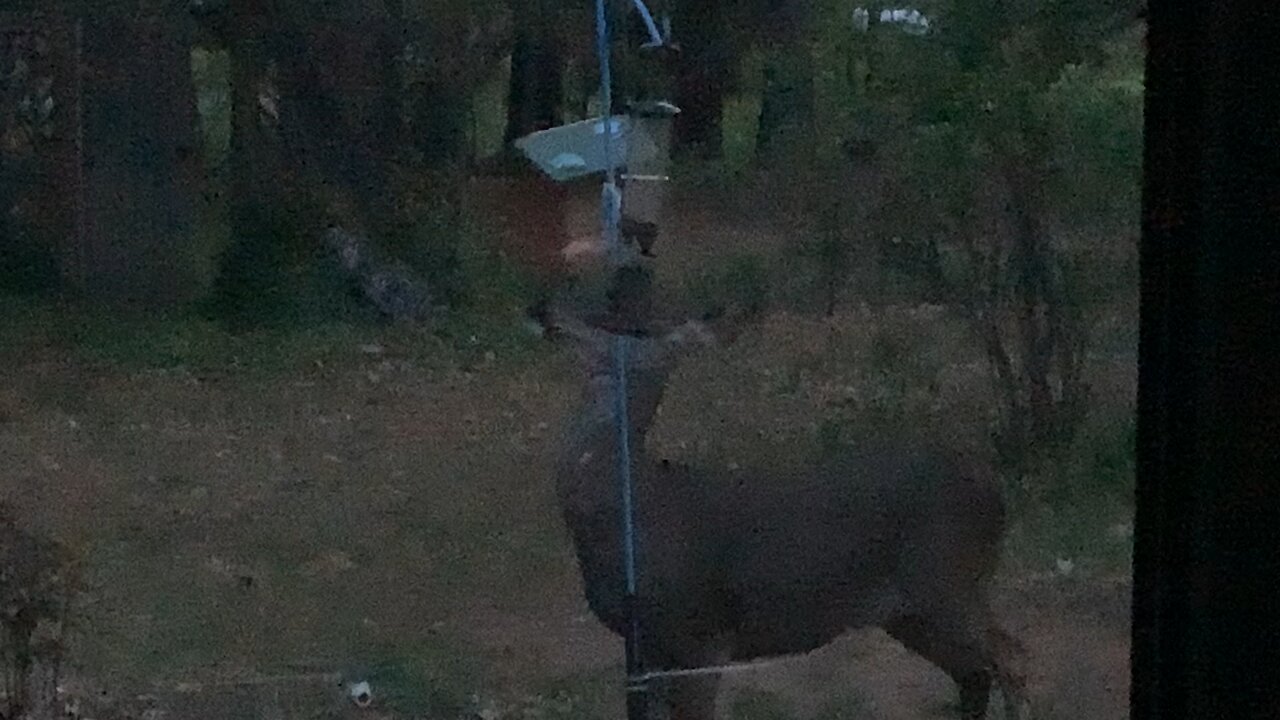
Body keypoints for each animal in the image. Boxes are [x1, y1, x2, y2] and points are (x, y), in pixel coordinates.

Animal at [537, 294, 1029, 712]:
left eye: (620, 325)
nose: (549, 312)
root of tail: (993, 485)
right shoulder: (643, 649)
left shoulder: (700, 634)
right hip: (907, 611)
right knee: (973, 673)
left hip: (947, 578)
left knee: (1012, 656)